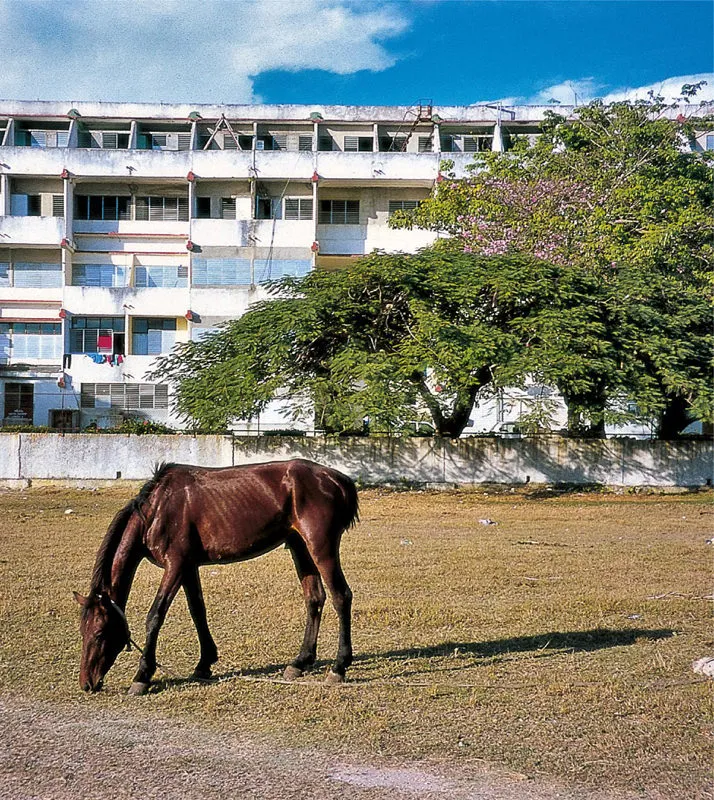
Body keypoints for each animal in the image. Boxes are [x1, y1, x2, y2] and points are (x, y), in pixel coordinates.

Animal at [73, 460, 356, 696]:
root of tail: (337, 479)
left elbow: (155, 616)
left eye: (99, 632)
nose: (87, 683)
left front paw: (142, 676)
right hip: (300, 548)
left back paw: (339, 667)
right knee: (314, 598)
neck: (157, 510)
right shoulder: (188, 567)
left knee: (341, 597)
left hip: (321, 548)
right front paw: (204, 663)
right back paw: (299, 662)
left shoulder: (175, 566)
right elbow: (198, 611)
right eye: (82, 630)